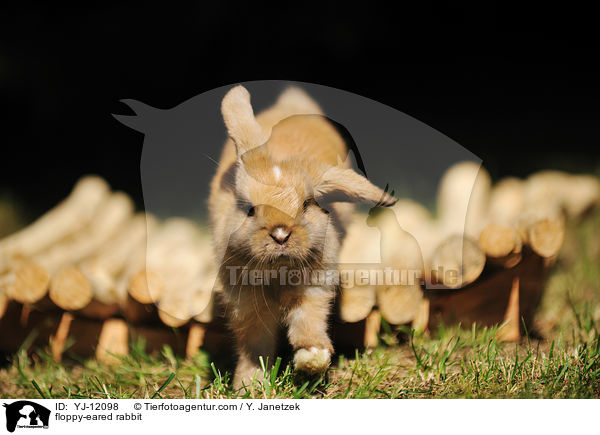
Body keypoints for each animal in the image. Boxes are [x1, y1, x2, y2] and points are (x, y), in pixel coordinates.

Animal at [209, 85, 396, 388]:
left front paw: (312, 359)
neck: (278, 272)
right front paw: (250, 384)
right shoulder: (246, 303)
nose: (280, 234)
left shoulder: (314, 289)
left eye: (307, 204)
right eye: (248, 208)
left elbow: (308, 322)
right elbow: (254, 344)